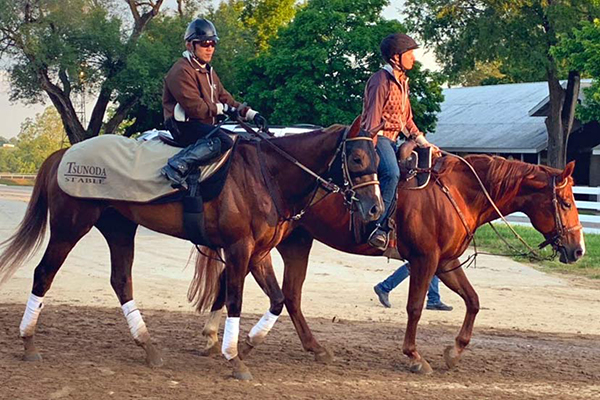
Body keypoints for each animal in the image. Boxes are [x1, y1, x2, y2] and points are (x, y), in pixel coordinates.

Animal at [0, 120, 384, 380]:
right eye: (357, 157)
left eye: (378, 158)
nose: (376, 210)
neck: (267, 175)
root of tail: (65, 153)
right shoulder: (239, 249)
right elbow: (236, 300)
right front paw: (234, 357)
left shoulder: (258, 253)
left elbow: (277, 299)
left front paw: (246, 345)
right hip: (70, 227)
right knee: (44, 274)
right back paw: (29, 342)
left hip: (119, 228)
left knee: (121, 281)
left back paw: (148, 346)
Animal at [197, 155, 584, 374]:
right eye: (565, 202)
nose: (578, 249)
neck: (457, 192)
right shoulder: (425, 260)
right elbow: (415, 308)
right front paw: (414, 356)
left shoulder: (446, 262)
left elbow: (473, 301)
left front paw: (454, 351)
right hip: (267, 243)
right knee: (254, 287)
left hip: (292, 243)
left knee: (284, 295)